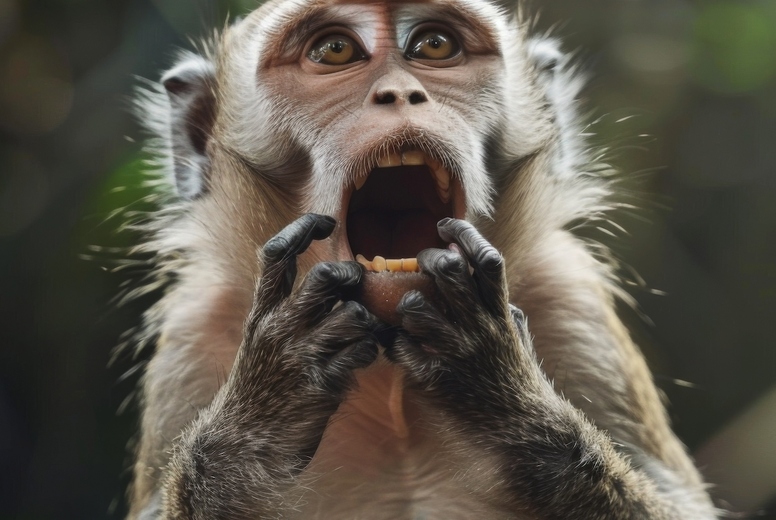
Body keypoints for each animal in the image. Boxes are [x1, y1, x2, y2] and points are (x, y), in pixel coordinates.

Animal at [125, 0, 719, 518]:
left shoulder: (573, 306)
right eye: (335, 50)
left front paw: (501, 387)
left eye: (435, 45)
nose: (400, 92)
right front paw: (261, 412)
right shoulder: (193, 337)